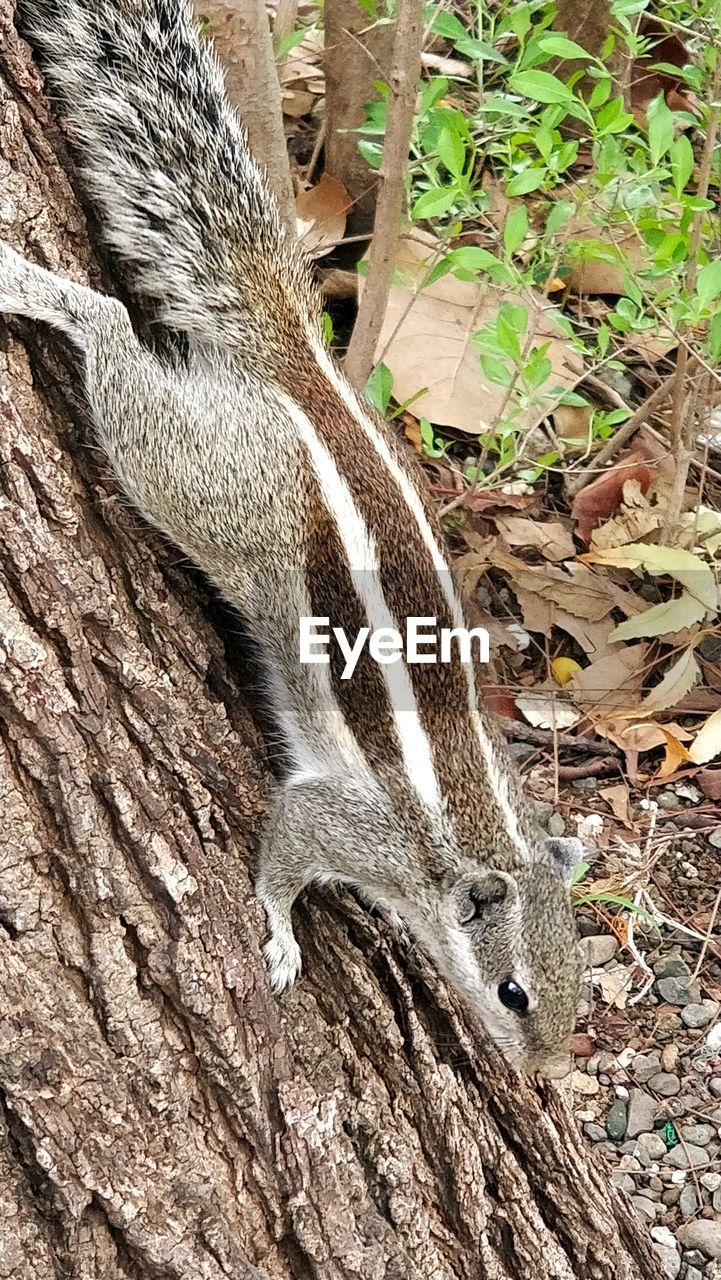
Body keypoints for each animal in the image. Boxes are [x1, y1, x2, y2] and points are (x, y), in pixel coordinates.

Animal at [0, 0, 583, 1070]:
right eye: (514, 992)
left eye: (577, 989)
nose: (542, 1072)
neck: (477, 843)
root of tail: (302, 369)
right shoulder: (348, 822)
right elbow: (282, 858)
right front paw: (274, 933)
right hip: (210, 481)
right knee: (110, 335)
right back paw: (47, 293)